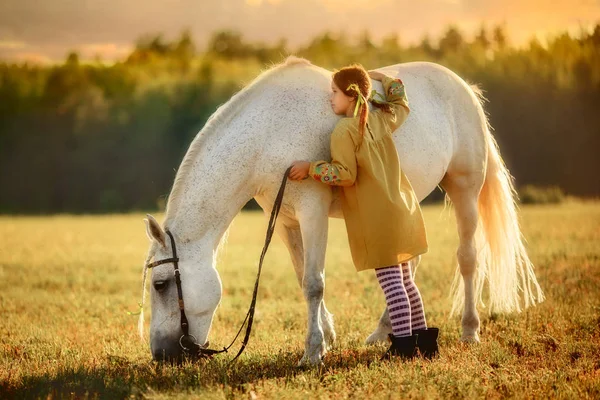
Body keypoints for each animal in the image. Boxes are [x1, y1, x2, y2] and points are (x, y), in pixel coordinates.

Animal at [139, 56, 544, 366]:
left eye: (161, 284)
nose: (162, 356)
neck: (266, 134)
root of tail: (465, 87)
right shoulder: (286, 221)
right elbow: (303, 275)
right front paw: (328, 336)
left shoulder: (312, 213)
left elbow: (314, 283)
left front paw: (313, 353)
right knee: (408, 261)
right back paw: (384, 331)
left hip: (464, 190)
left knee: (468, 258)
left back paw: (469, 330)